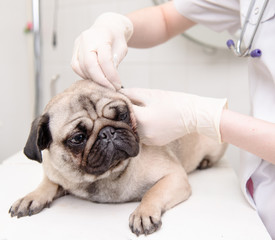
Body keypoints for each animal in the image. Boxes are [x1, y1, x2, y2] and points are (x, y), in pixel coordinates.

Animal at [9, 79, 227, 236]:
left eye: (122, 115)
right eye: (78, 138)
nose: (107, 132)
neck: (103, 177)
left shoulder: (175, 177)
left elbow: (153, 192)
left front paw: (143, 212)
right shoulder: (56, 172)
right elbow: (48, 182)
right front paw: (32, 197)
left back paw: (205, 162)